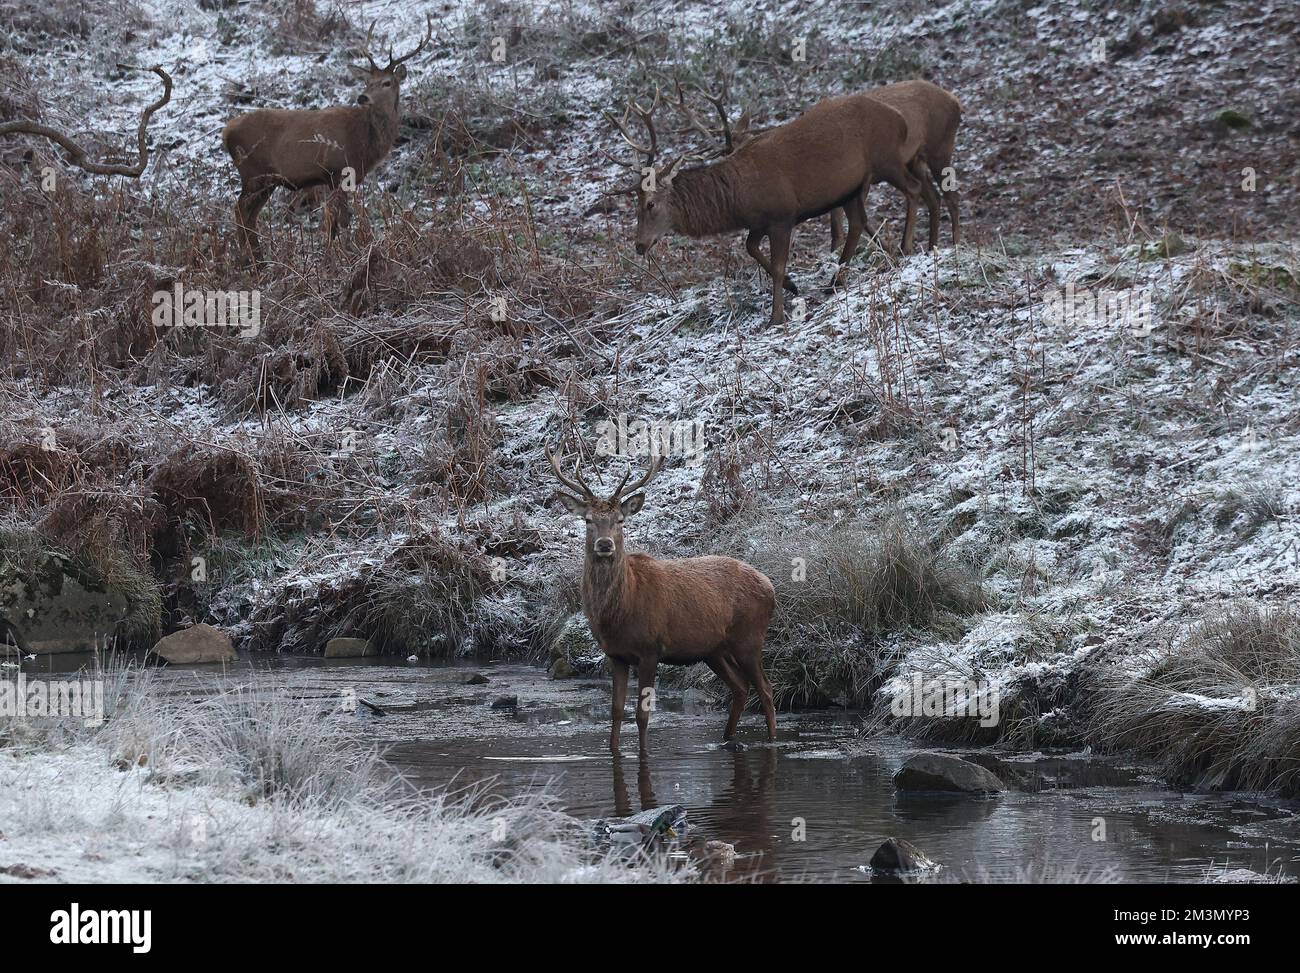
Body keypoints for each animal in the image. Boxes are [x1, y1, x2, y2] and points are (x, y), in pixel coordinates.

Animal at [220, 19, 428, 262]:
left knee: (250, 216)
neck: (365, 141)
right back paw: (249, 261)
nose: (363, 97)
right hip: (252, 172)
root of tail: (226, 132)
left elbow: (333, 221)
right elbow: (341, 220)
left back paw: (259, 260)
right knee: (240, 210)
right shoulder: (338, 170)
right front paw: (345, 255)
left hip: (267, 180)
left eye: (387, 82)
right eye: (368, 81)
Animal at [546, 444, 774, 754]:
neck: (618, 611)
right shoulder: (615, 654)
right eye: (588, 520)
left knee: (766, 689)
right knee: (741, 688)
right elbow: (616, 711)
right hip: (714, 650)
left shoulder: (650, 649)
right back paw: (726, 740)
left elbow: (642, 714)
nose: (605, 544)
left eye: (620, 520)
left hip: (750, 638)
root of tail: (770, 586)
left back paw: (772, 741)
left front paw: (644, 752)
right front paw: (614, 750)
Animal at [611, 87, 925, 325]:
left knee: (914, 188)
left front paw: (777, 316)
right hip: (851, 188)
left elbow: (776, 264)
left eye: (650, 204)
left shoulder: (781, 216)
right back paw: (839, 280)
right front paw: (792, 284)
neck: (738, 199)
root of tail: (899, 119)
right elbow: (751, 248)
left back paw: (905, 246)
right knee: (860, 220)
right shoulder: (759, 223)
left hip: (886, 158)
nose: (639, 245)